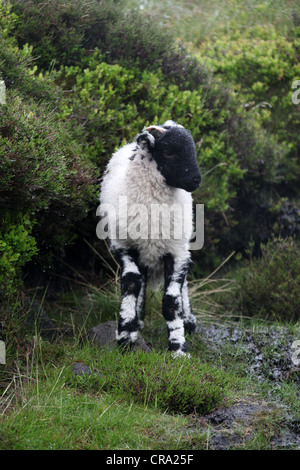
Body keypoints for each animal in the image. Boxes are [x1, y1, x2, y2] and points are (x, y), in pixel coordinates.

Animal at [99, 121, 202, 356]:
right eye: (169, 152)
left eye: (192, 149)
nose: (196, 180)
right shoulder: (123, 246)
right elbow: (131, 283)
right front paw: (125, 335)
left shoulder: (176, 252)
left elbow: (171, 301)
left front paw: (178, 348)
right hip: (142, 250)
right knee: (141, 280)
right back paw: (138, 322)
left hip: (179, 245)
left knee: (182, 286)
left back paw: (188, 320)